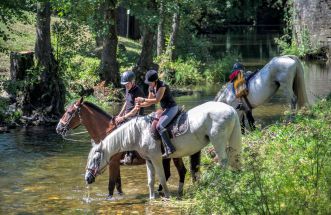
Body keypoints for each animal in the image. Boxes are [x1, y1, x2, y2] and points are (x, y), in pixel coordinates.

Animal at [56, 98, 200, 199]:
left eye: (69, 112)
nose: (58, 128)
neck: (108, 133)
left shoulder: (112, 163)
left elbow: (111, 184)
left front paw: (109, 198)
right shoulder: (115, 164)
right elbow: (118, 184)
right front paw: (120, 196)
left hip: (176, 156)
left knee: (181, 171)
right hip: (166, 158)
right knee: (170, 173)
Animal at [84, 101, 243, 199]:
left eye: (95, 158)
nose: (87, 178)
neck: (138, 133)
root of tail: (231, 109)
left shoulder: (156, 158)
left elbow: (161, 177)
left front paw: (166, 195)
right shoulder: (148, 160)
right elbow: (150, 180)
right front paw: (151, 198)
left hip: (218, 142)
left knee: (223, 162)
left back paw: (218, 183)